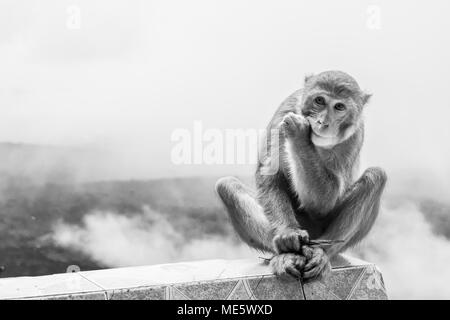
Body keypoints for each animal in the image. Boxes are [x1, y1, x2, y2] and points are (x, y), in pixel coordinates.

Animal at [214, 70, 386, 280]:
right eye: (319, 100)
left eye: (339, 107)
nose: (322, 122)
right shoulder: (283, 115)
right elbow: (270, 177)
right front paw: (287, 234)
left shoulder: (355, 135)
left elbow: (323, 203)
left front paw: (300, 137)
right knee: (227, 185)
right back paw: (285, 253)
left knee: (376, 177)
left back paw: (321, 253)